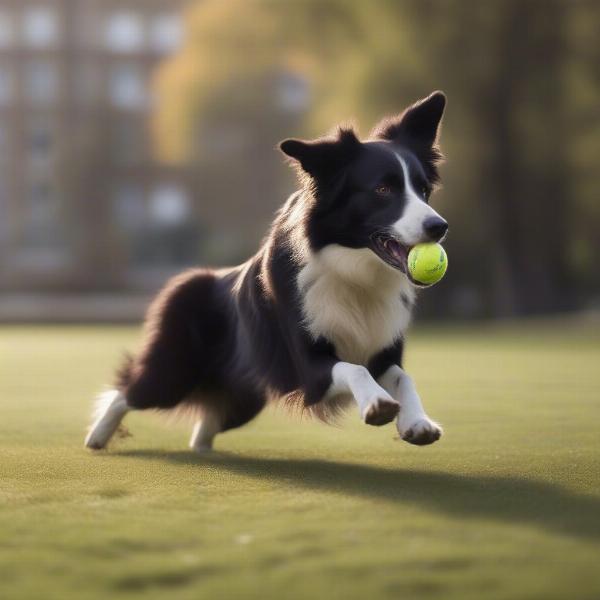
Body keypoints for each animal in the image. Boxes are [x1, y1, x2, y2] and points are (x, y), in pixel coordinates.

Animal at [86, 91, 448, 452]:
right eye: (382, 190)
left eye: (423, 189)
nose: (439, 226)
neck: (353, 271)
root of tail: (196, 278)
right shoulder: (308, 367)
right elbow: (355, 369)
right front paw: (377, 403)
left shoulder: (383, 351)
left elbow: (403, 376)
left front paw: (417, 422)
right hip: (174, 372)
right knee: (128, 391)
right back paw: (97, 437)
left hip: (243, 398)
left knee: (206, 422)